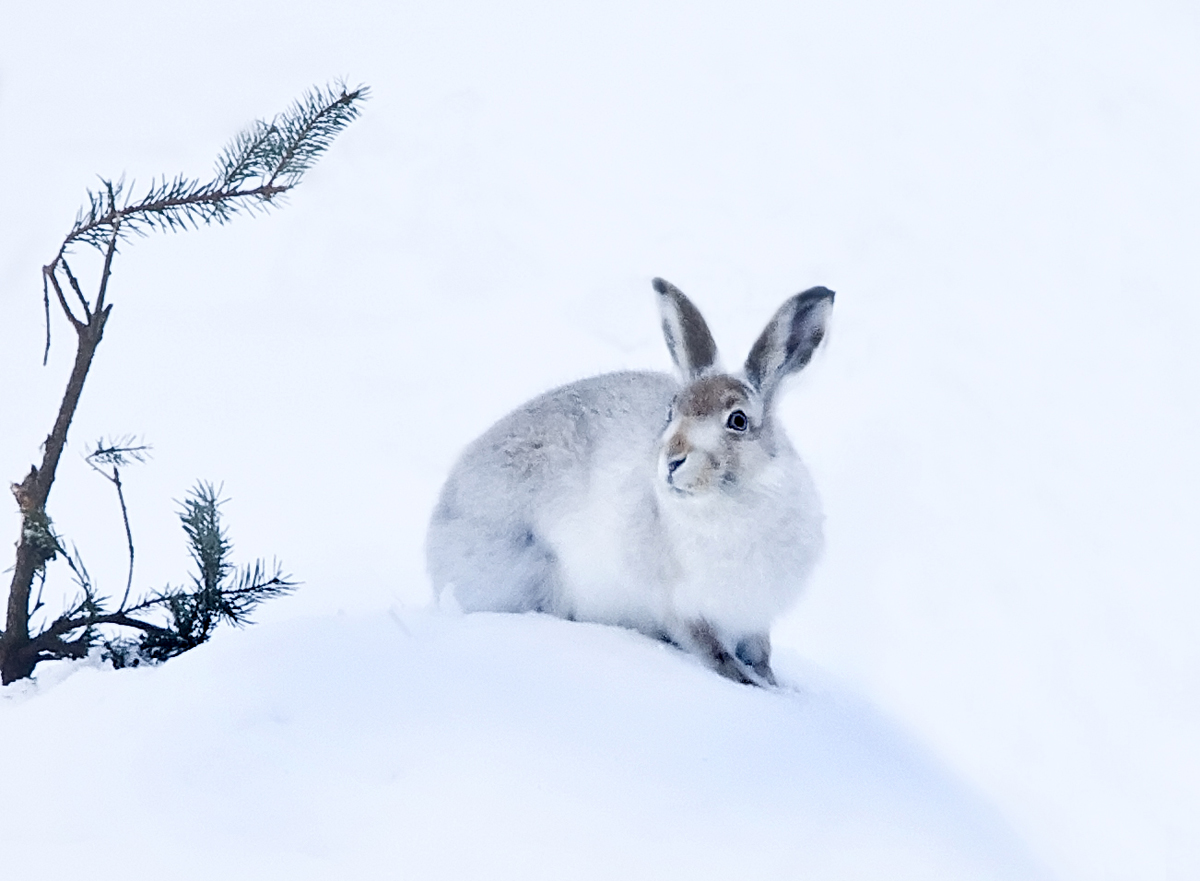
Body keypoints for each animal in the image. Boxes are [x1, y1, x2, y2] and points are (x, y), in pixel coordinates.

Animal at [426, 277, 833, 686]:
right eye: (671, 411)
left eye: (738, 420)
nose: (672, 461)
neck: (731, 499)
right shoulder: (680, 607)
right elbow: (708, 646)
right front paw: (744, 680)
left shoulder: (755, 617)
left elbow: (760, 650)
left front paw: (770, 680)